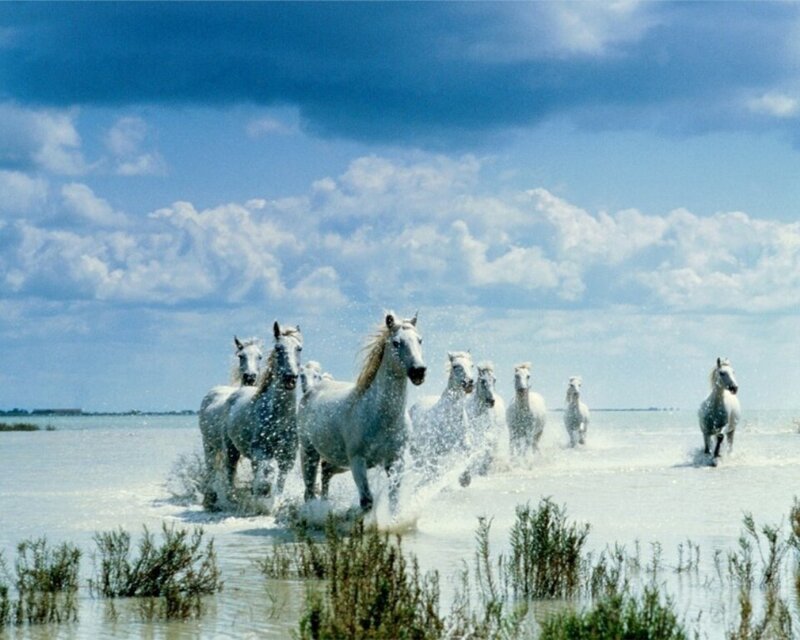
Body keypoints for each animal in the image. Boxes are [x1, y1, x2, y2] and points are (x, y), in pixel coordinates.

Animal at [198, 336, 263, 509]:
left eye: (259, 356)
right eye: (241, 356)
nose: (250, 377)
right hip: (208, 444)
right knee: (211, 468)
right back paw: (210, 498)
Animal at [223, 321, 303, 500]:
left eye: (299, 348)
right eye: (278, 348)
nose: (290, 378)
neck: (279, 418)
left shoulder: (288, 457)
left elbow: (280, 482)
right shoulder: (260, 452)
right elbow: (266, 476)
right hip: (231, 448)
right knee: (230, 471)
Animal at [298, 312, 426, 512]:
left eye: (419, 340)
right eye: (396, 342)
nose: (419, 371)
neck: (380, 415)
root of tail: (310, 391)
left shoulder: (395, 460)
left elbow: (394, 500)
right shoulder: (357, 461)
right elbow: (367, 501)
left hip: (336, 461)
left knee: (326, 475)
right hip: (309, 452)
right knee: (309, 491)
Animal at [409, 351, 475, 483]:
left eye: (472, 365)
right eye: (455, 366)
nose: (469, 383)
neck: (449, 417)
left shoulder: (463, 443)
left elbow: (469, 453)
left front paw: (465, 479)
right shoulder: (434, 452)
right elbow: (434, 472)